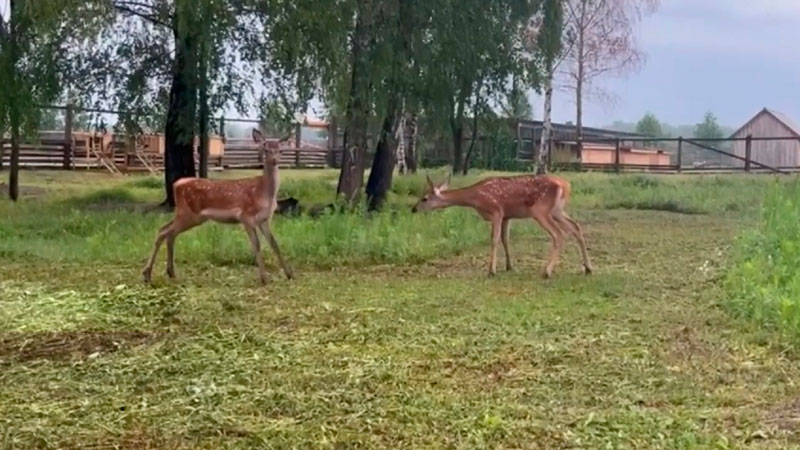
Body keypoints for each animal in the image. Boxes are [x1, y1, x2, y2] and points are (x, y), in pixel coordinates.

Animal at [142, 130, 296, 284]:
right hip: (189, 213)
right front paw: (264, 278)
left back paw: (170, 272)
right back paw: (148, 273)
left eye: (281, 150)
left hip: (187, 214)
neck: (264, 193)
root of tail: (176, 185)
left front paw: (289, 274)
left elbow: (274, 243)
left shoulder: (264, 219)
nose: (274, 160)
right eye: (265, 149)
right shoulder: (246, 216)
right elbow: (256, 245)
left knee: (168, 232)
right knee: (164, 231)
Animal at [412, 173, 592, 276]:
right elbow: (505, 239)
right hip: (557, 210)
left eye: (424, 198)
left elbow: (494, 239)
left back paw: (547, 272)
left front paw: (491, 270)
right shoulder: (507, 215)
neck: (475, 198)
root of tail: (565, 185)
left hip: (540, 210)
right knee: (576, 227)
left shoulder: (496, 211)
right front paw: (509, 266)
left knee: (558, 234)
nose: (413, 209)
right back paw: (588, 268)